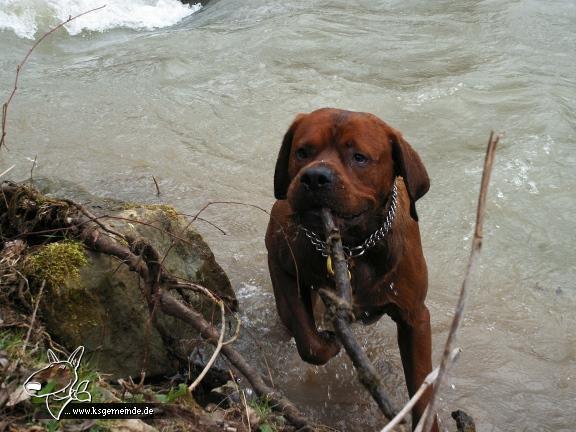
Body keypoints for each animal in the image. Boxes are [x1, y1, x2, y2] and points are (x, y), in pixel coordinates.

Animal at [268, 107, 438, 428]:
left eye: (359, 157)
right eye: (302, 152)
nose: (315, 177)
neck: (351, 248)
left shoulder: (415, 317)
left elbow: (421, 387)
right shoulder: (281, 264)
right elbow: (309, 341)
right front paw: (330, 342)